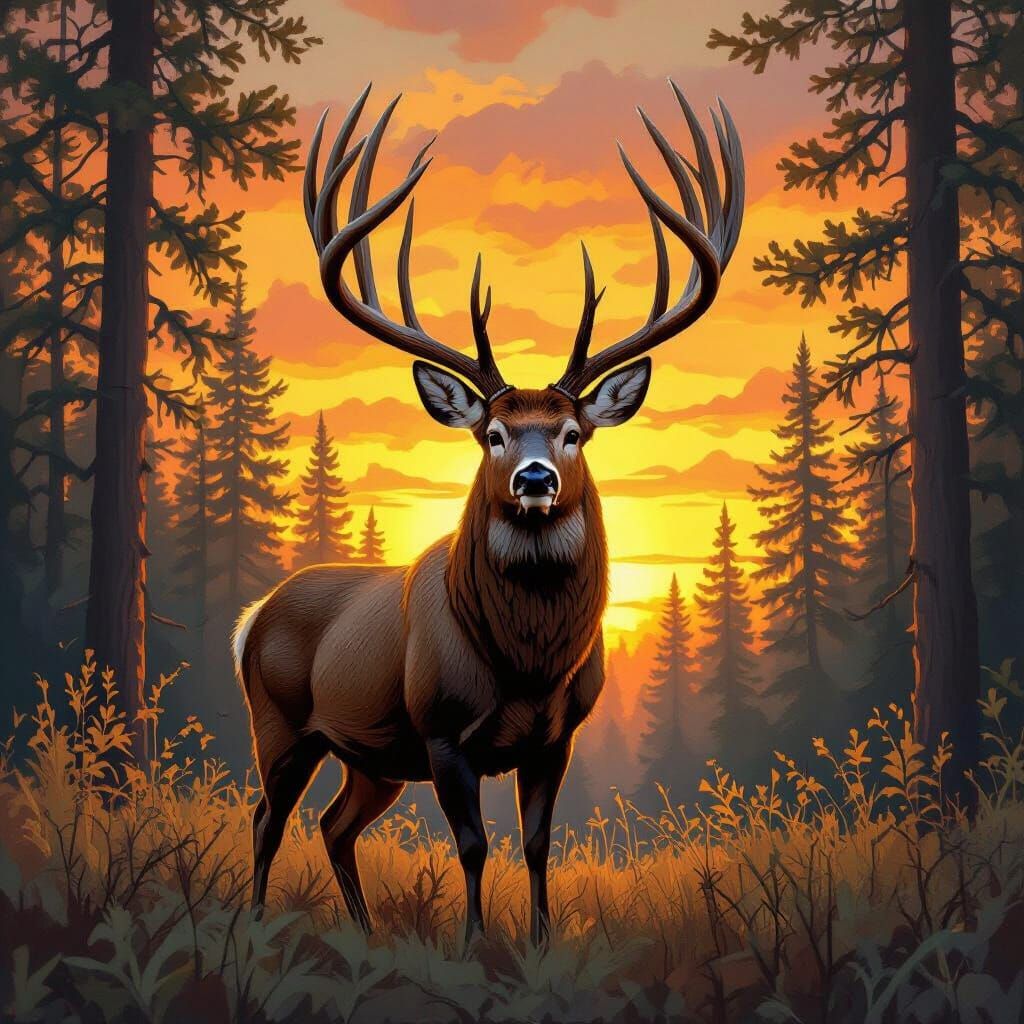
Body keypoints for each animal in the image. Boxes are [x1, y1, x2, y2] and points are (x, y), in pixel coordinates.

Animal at [233, 80, 744, 946]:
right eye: (493, 433)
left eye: (574, 432)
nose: (535, 477)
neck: (526, 664)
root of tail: (252, 615)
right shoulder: (441, 730)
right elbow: (472, 845)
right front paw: (474, 944)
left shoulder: (555, 737)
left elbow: (537, 844)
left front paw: (538, 942)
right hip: (281, 722)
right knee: (269, 818)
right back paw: (254, 924)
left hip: (371, 756)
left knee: (333, 825)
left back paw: (364, 934)